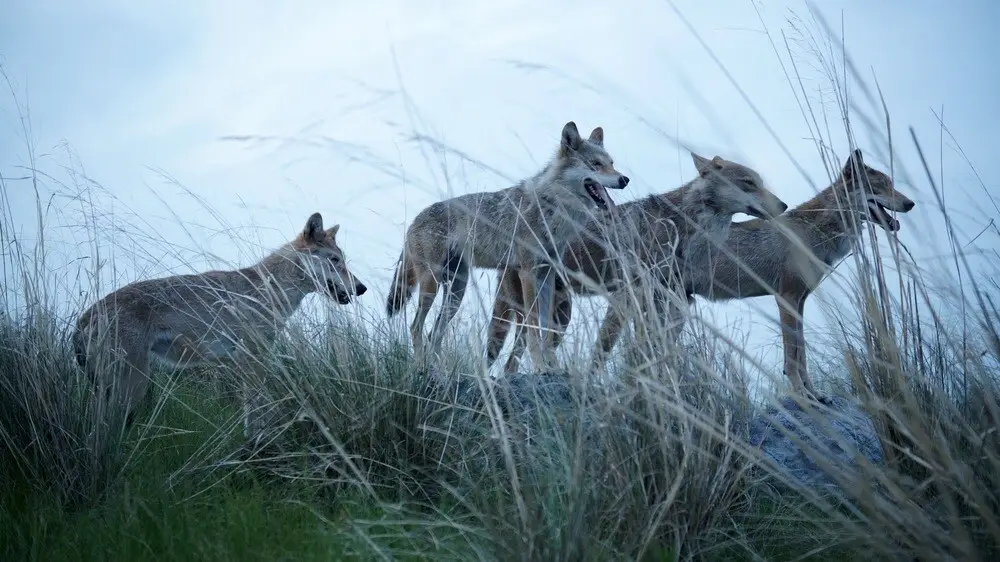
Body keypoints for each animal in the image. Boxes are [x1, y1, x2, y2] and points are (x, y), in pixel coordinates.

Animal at [72, 212, 368, 422]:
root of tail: (84, 318)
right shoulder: (251, 358)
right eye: (335, 260)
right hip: (133, 387)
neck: (271, 289)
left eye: (342, 260)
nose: (362, 288)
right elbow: (255, 411)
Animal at [386, 120, 628, 364]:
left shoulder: (547, 274)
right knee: (416, 327)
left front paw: (551, 365)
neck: (552, 210)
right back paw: (421, 365)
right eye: (595, 164)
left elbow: (545, 328)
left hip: (456, 292)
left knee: (433, 333)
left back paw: (438, 368)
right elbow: (532, 327)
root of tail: (414, 220)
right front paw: (540, 365)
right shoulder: (528, 273)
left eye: (612, 164)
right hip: (431, 285)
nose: (624, 179)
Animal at [486, 151, 788, 374]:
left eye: (759, 183)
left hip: (556, 318)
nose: (783, 205)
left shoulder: (674, 304)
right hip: (538, 316)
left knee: (512, 363)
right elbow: (602, 355)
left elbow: (653, 356)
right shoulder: (626, 297)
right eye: (748, 183)